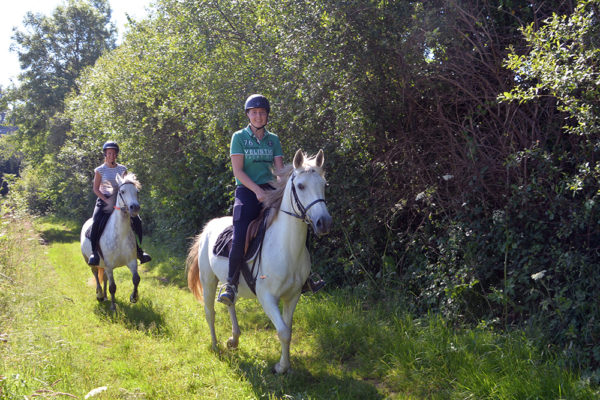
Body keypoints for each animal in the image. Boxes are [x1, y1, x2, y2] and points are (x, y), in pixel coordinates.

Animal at [80, 173, 142, 310]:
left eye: (137, 192)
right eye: (122, 191)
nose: (135, 207)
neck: (120, 235)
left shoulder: (132, 261)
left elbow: (136, 279)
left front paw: (134, 297)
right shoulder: (109, 265)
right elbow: (113, 287)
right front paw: (113, 307)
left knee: (103, 277)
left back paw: (105, 296)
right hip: (89, 261)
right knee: (95, 274)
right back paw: (99, 295)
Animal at [186, 148, 332, 374]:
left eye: (323, 185)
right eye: (300, 186)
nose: (323, 223)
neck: (286, 248)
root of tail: (209, 226)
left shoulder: (293, 296)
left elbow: (288, 330)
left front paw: (284, 365)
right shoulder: (267, 297)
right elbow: (282, 331)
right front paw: (282, 367)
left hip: (228, 281)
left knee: (230, 302)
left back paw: (234, 340)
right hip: (208, 280)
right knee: (210, 312)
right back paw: (216, 346)